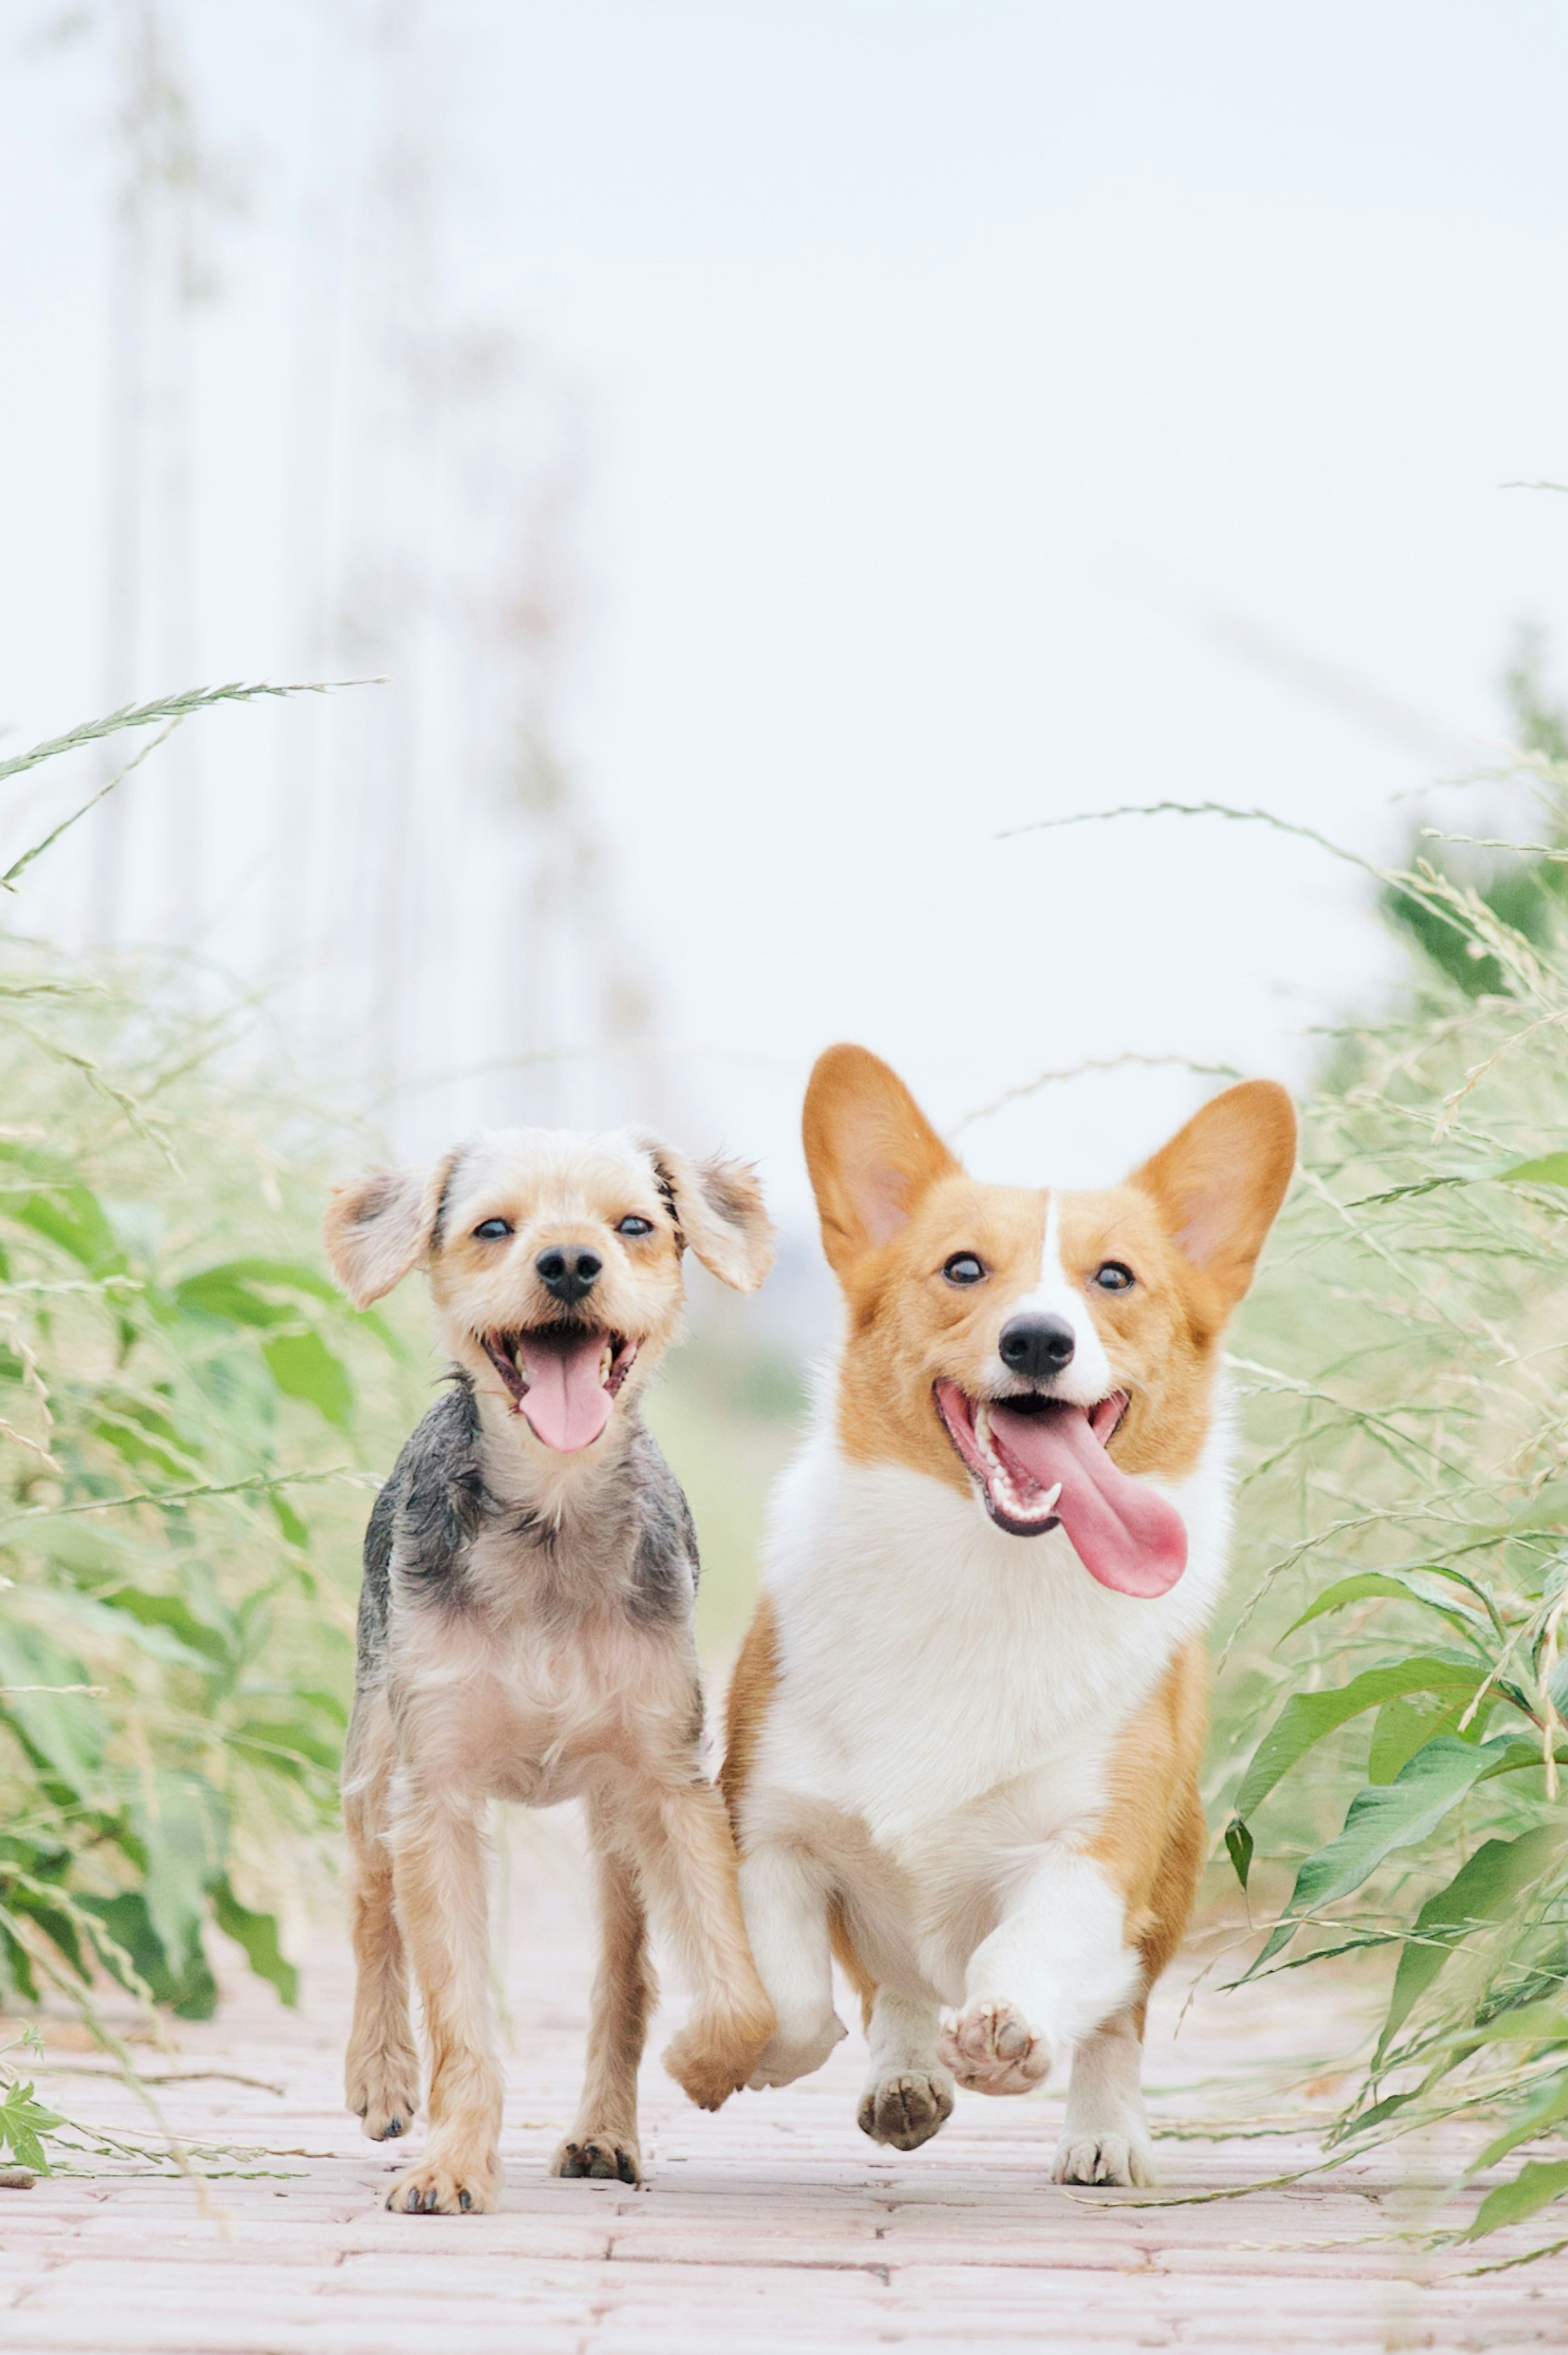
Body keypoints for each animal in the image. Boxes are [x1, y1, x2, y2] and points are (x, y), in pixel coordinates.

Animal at [322, 1130, 777, 2214]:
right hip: (373, 1755)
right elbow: (456, 2008)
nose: (569, 1262)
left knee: (625, 1974)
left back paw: (605, 2133)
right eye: (494, 1226)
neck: (551, 1519)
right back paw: (380, 2072)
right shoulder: (436, 1792)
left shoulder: (668, 1781)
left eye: (635, 1225)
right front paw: (450, 2160)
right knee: (369, 1901)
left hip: (612, 1829)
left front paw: (709, 2062)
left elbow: (733, 1987)